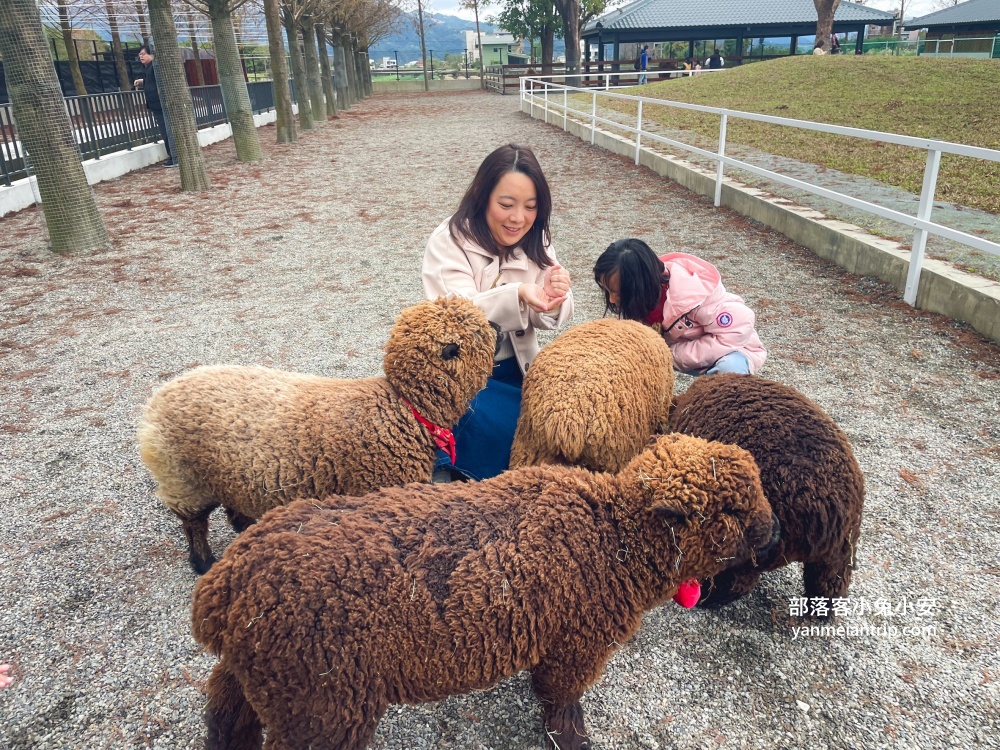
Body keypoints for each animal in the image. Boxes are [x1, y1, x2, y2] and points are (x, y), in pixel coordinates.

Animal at [139, 296, 498, 572]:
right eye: (478, 332)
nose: (496, 325)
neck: (404, 407)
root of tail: (154, 403)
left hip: (225, 472)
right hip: (183, 479)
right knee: (194, 524)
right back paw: (203, 563)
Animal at [191, 434, 776, 750]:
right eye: (730, 510)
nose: (772, 534)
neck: (615, 537)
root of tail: (224, 586)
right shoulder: (578, 643)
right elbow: (561, 698)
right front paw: (572, 737)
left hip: (267, 677)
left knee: (224, 710)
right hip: (320, 702)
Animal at [664, 376, 868, 612]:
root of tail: (826, 509)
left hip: (751, 550)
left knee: (736, 583)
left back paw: (707, 599)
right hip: (840, 553)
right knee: (829, 588)